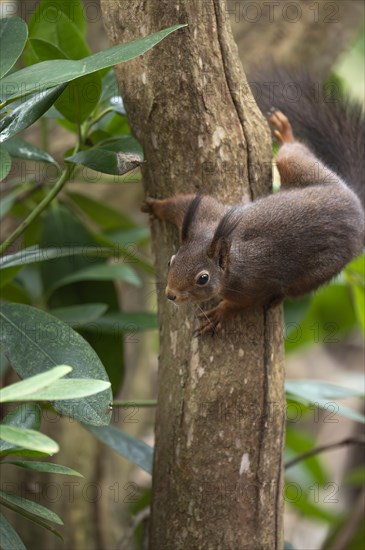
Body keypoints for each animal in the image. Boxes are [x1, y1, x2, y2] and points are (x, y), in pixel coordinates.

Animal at [141, 74, 362, 336]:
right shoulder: (204, 217)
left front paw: (218, 314)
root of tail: (355, 204)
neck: (231, 259)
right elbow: (181, 204)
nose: (171, 294)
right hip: (304, 169)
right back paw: (284, 132)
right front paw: (154, 206)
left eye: (203, 278)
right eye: (171, 260)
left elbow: (243, 303)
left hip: (318, 271)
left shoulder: (254, 284)